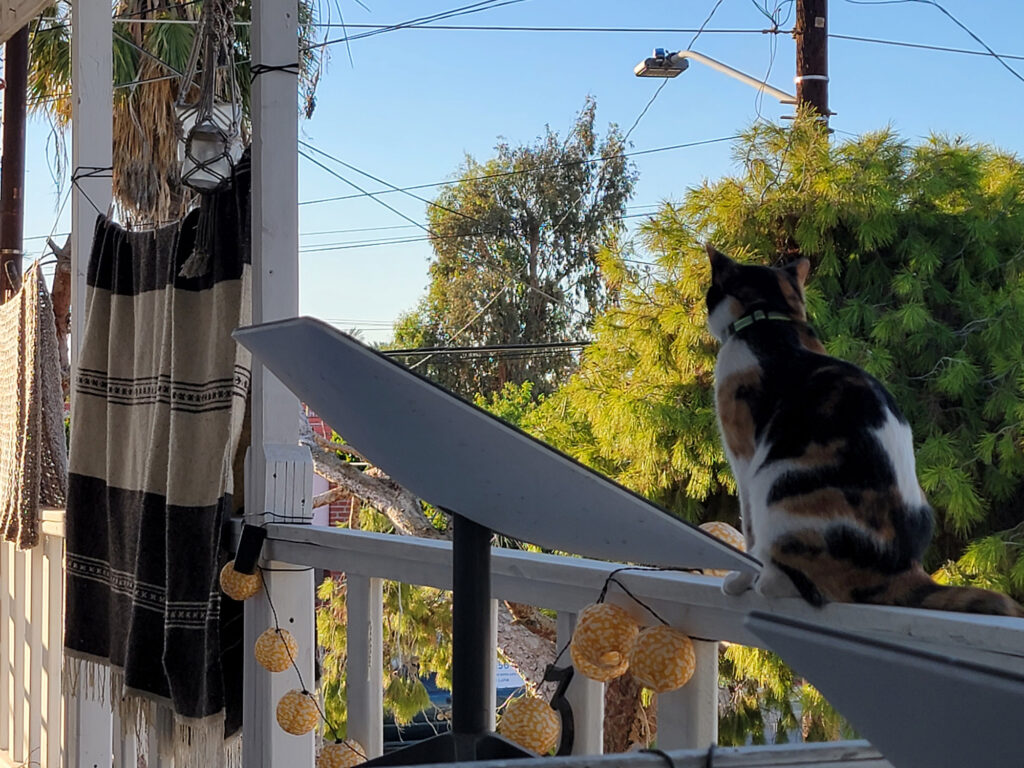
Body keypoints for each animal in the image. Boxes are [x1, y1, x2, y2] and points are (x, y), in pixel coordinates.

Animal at [708, 246, 1024, 618]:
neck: (770, 319)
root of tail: (900, 570)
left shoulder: (743, 458)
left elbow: (749, 535)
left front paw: (739, 580)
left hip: (773, 482)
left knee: (803, 581)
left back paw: (766, 583)